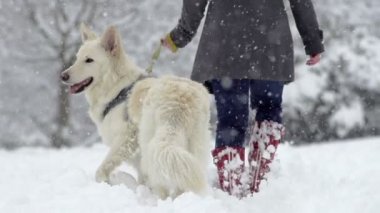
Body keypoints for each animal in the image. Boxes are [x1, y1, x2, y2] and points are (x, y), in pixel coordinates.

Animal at [61, 24, 212, 199]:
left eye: (89, 60)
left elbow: (102, 170)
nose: (63, 76)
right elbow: (142, 178)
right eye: (77, 58)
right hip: (195, 145)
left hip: (149, 142)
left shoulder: (125, 139)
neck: (116, 86)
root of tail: (179, 101)